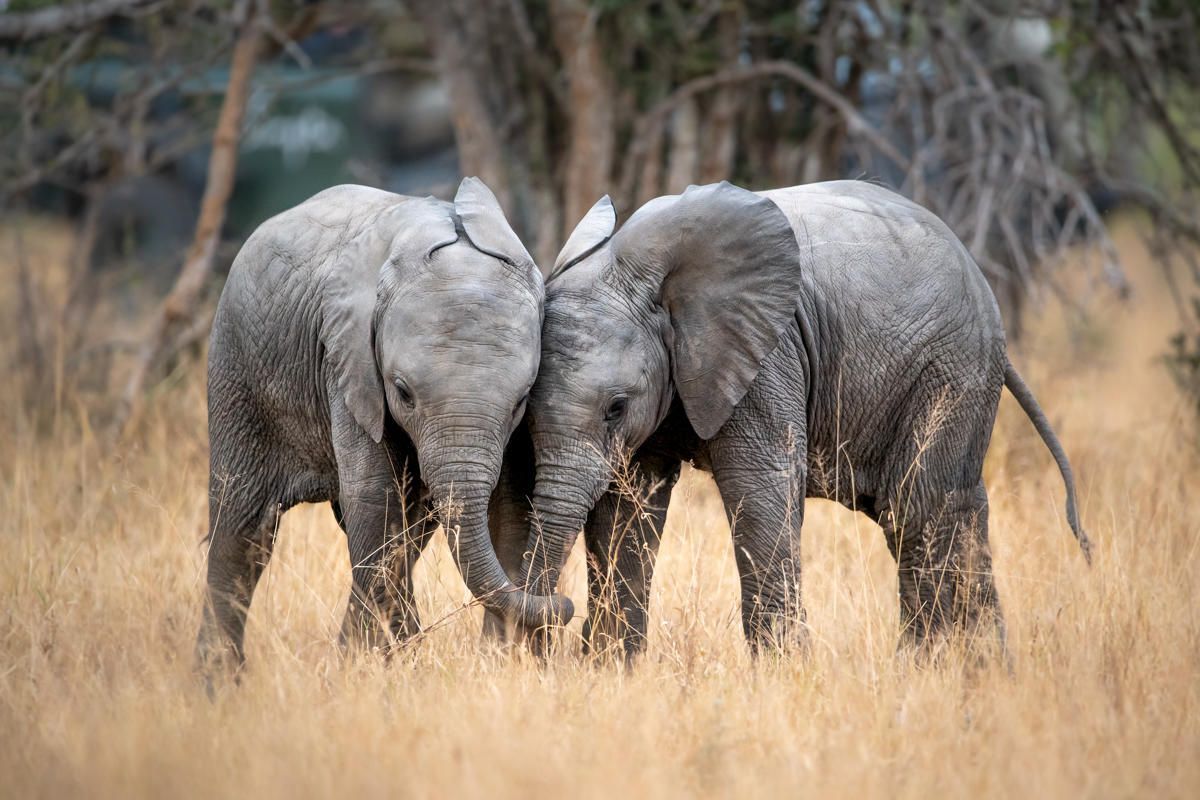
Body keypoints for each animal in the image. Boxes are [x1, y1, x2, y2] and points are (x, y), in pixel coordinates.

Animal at [195, 177, 572, 673]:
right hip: (236, 365)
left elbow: (507, 503)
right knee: (242, 530)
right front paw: (367, 666)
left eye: (522, 399)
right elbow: (373, 500)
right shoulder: (347, 361)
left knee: (410, 531)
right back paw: (219, 681)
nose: (564, 605)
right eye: (403, 391)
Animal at [509, 179, 1091, 659]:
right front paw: (610, 672)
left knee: (921, 510)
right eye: (525, 412)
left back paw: (938, 672)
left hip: (952, 367)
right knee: (948, 512)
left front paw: (782, 675)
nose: (553, 612)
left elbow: (759, 487)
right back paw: (977, 672)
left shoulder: (767, 354)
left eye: (615, 407)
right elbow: (626, 507)